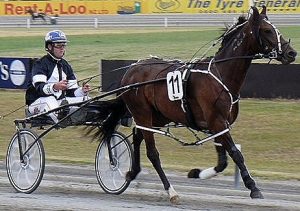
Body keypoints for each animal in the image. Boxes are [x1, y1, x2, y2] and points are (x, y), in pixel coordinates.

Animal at [88, 6, 296, 204]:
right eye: (267, 30)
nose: (291, 53)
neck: (221, 74)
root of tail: (130, 71)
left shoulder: (218, 126)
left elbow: (222, 162)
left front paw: (197, 173)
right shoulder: (217, 122)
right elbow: (236, 154)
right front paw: (253, 187)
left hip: (156, 117)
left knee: (138, 137)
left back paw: (132, 173)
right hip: (143, 113)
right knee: (152, 153)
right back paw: (171, 191)